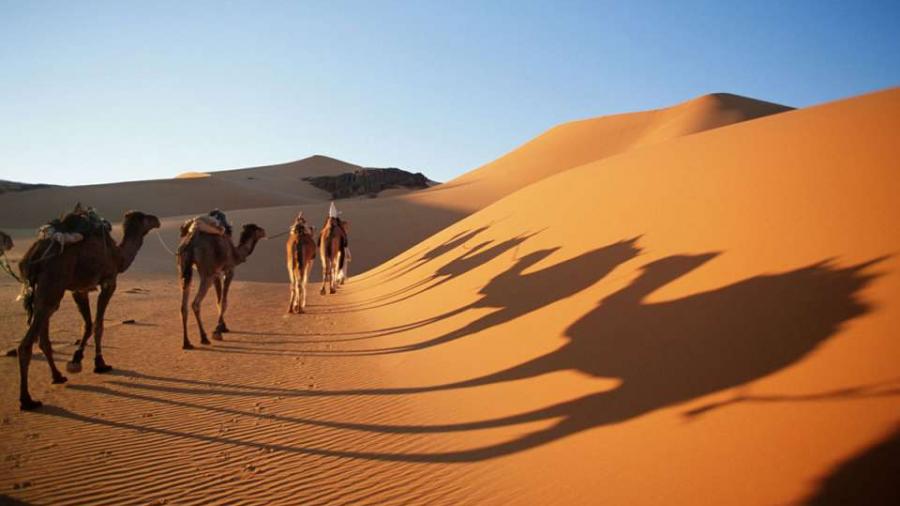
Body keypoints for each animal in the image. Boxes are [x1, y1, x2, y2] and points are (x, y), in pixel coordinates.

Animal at [16, 210, 160, 412]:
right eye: (146, 217)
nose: (157, 220)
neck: (118, 256)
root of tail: (32, 257)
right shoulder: (109, 281)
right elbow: (98, 324)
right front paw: (100, 363)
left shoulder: (79, 289)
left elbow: (88, 324)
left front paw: (76, 360)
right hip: (53, 285)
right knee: (27, 343)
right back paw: (27, 400)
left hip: (45, 292)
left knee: (44, 334)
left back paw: (57, 376)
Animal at [178, 219, 266, 350]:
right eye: (257, 228)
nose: (264, 231)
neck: (235, 253)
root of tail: (190, 241)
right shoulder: (228, 271)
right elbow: (223, 302)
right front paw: (218, 331)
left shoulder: (217, 274)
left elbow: (218, 301)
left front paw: (222, 327)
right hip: (206, 274)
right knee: (195, 303)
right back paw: (204, 338)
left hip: (184, 268)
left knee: (184, 306)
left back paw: (186, 342)